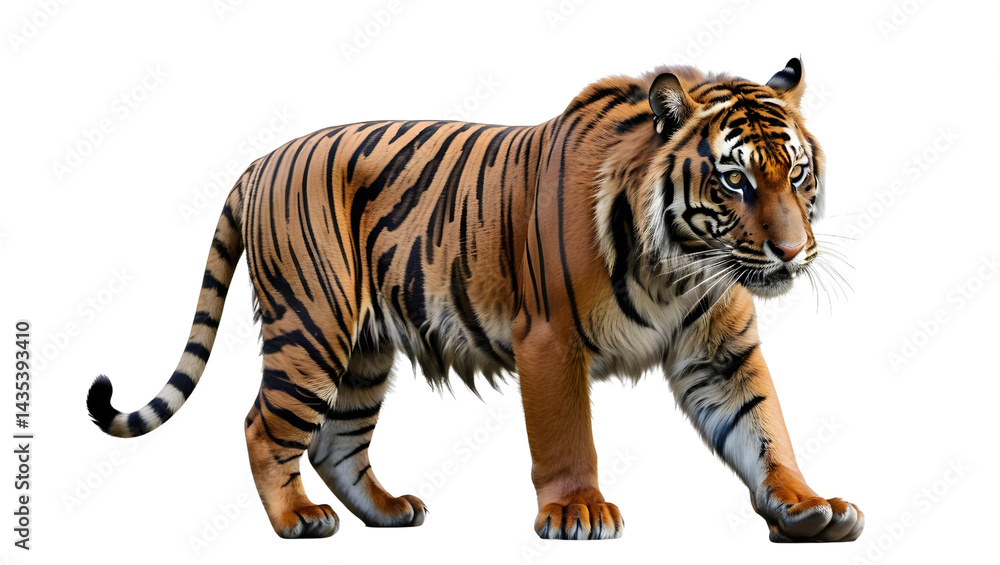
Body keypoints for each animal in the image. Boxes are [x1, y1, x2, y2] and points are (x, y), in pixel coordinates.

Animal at [87, 57, 863, 542]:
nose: (792, 252)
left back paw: (390, 510)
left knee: (338, 441)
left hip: (363, 351)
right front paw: (578, 511)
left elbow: (763, 427)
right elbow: (566, 435)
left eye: (796, 174)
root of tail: (258, 161)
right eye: (735, 181)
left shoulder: (721, 351)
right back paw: (297, 519)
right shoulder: (549, 336)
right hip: (313, 327)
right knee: (262, 427)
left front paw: (808, 506)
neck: (680, 267)